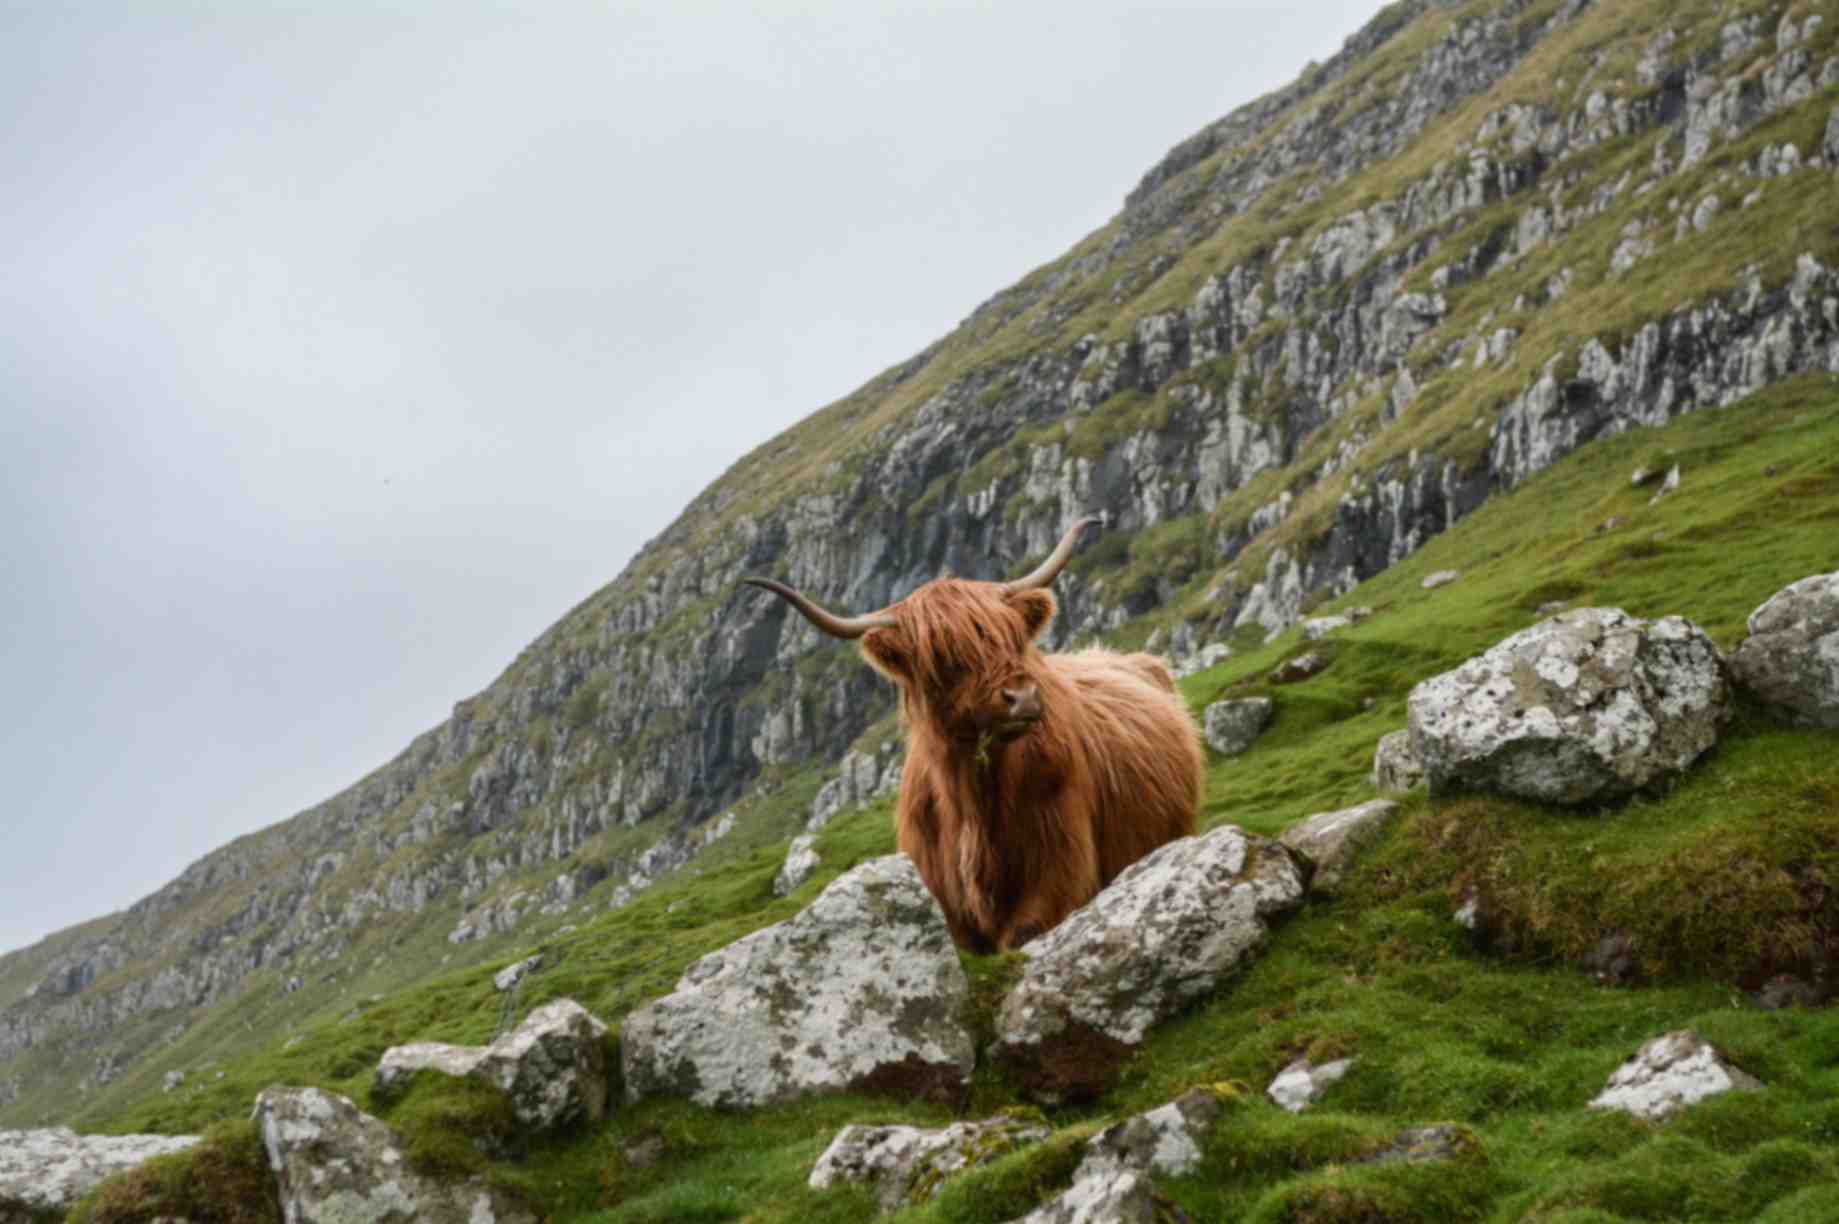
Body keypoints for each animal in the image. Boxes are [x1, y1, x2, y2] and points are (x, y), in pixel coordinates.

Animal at [744, 517, 1203, 952]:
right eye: (944, 656)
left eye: (1013, 638)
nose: (1023, 698)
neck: (972, 804)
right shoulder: (947, 905)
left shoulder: (1058, 875)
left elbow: (1025, 932)